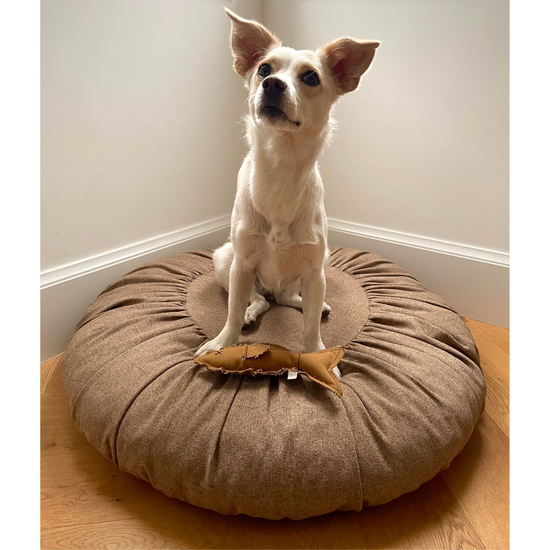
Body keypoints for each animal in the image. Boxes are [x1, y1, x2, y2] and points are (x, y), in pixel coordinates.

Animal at [196, 7, 382, 366]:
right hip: (225, 260)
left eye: (310, 77)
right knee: (260, 300)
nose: (271, 84)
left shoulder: (313, 269)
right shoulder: (241, 264)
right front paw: (222, 344)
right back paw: (253, 310)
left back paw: (312, 305)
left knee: (287, 297)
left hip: (320, 264)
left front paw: (317, 355)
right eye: (263, 69)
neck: (280, 167)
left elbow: (310, 329)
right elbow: (232, 314)